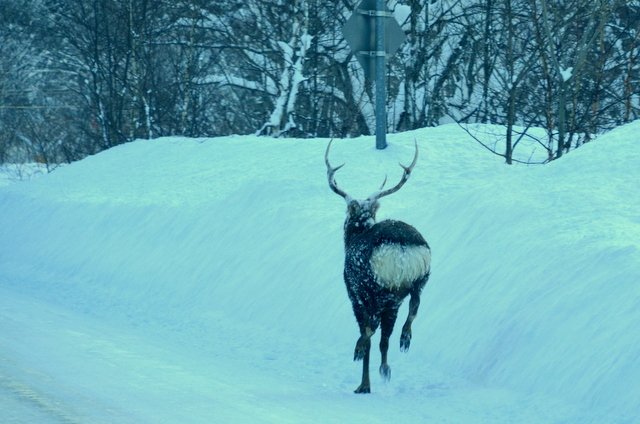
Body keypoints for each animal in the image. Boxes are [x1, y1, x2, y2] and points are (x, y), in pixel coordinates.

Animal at [324, 139, 430, 394]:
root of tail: (402, 248)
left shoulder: (353, 292)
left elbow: (370, 333)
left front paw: (364, 385)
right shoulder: (394, 302)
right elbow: (384, 340)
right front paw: (382, 371)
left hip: (374, 287)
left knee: (369, 328)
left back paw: (358, 349)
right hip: (417, 281)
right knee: (413, 307)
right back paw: (404, 340)